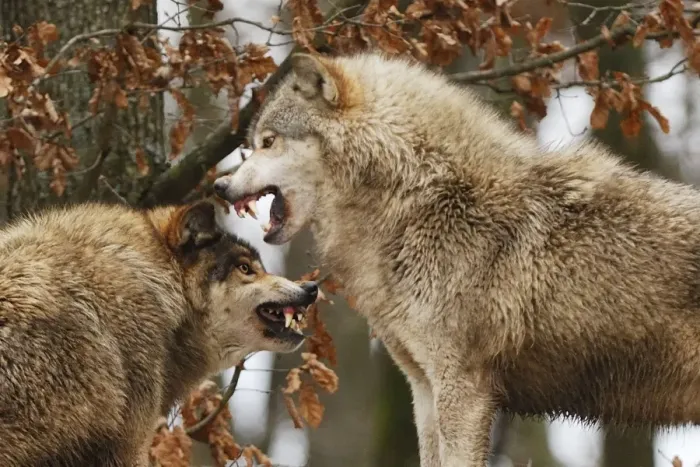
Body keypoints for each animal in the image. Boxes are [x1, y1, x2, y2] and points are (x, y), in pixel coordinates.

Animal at [213, 50, 700, 466]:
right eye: (253, 143)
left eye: (268, 142)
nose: (218, 186)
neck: (422, 199)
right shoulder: (424, 388)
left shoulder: (463, 387)